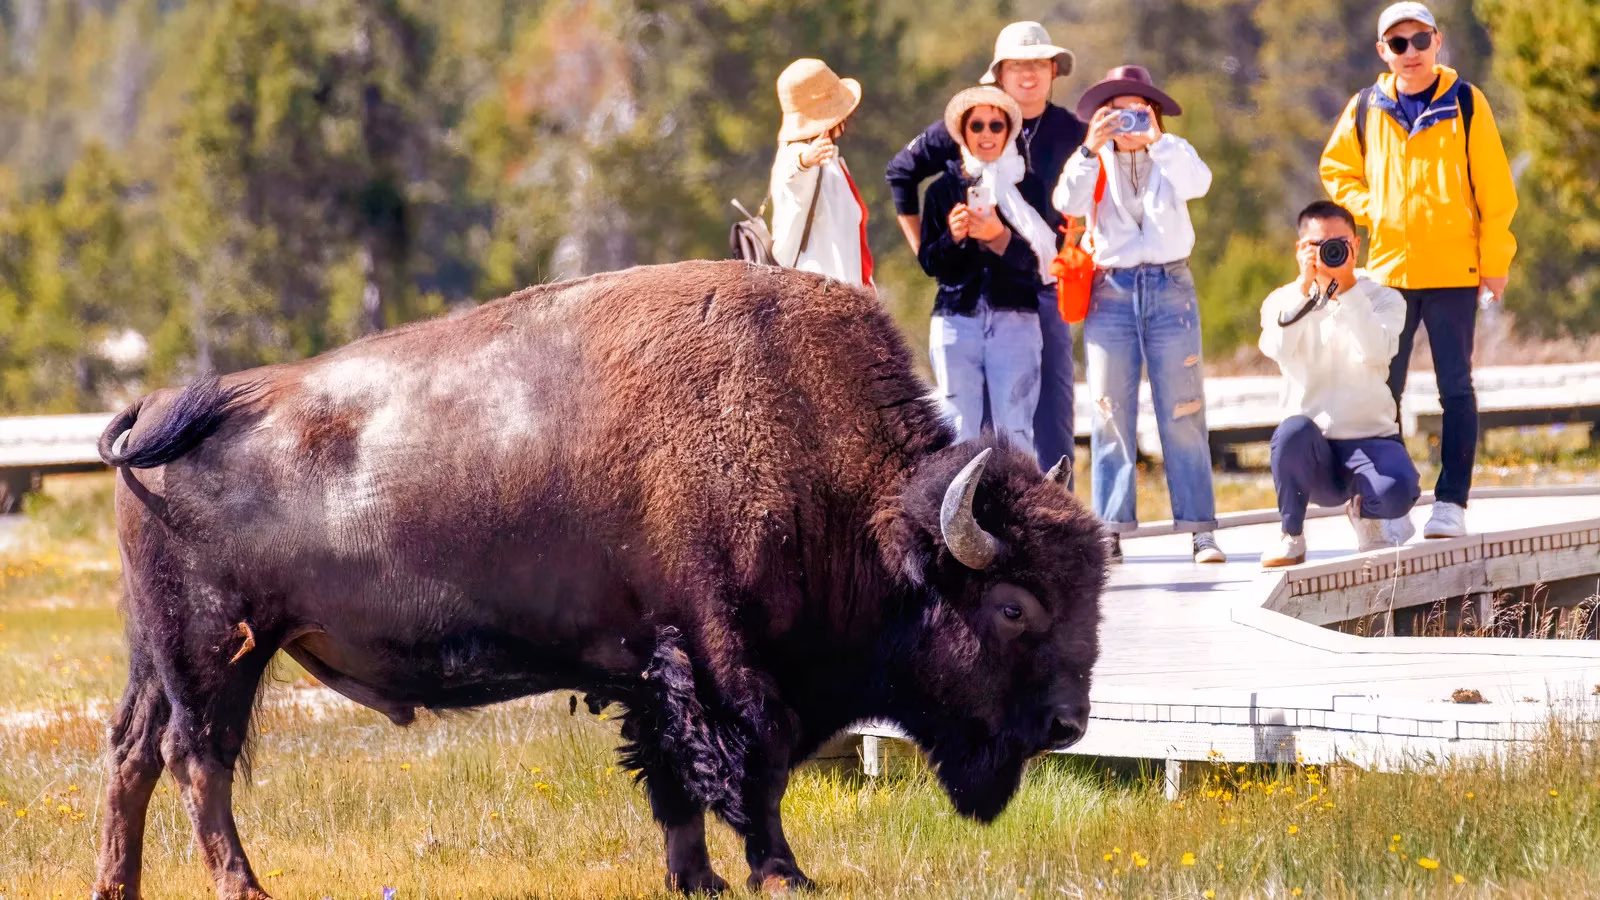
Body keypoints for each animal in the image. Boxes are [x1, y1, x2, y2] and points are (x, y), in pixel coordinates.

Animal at [90, 260, 1105, 898]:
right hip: (219, 649)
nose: (1068, 723)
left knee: (133, 753)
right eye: (1013, 606)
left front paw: (696, 879)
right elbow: (754, 765)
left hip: (159, 653)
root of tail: (161, 408)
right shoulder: (723, 661)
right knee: (198, 758)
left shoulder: (651, 668)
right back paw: (244, 887)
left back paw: (118, 887)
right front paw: (782, 873)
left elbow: (675, 780)